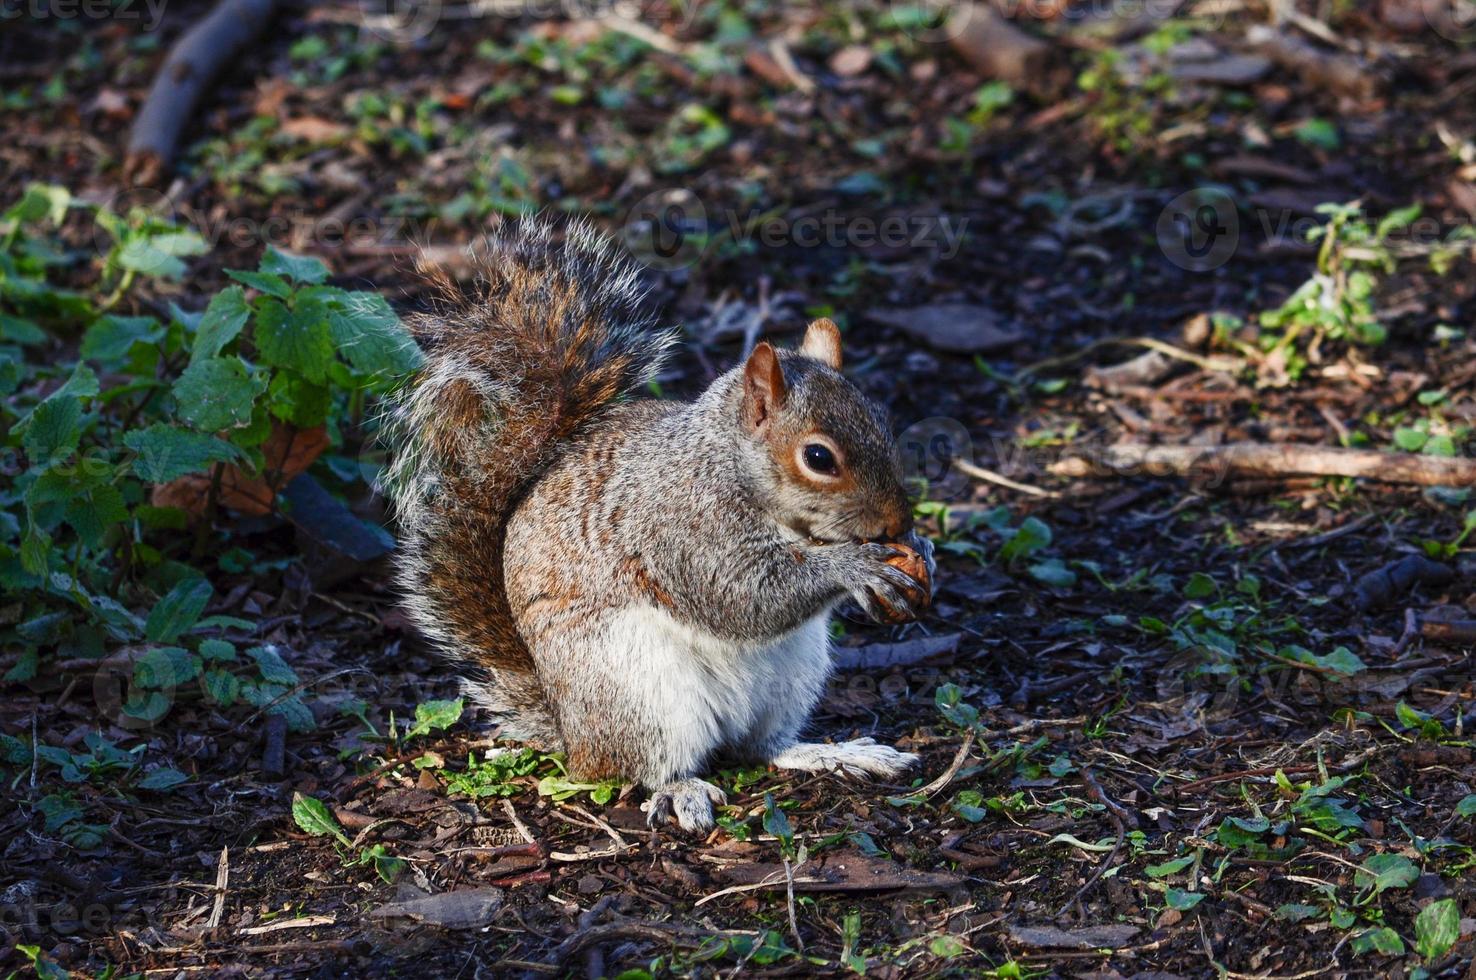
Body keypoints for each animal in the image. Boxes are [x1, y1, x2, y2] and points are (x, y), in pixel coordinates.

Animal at [383, 218, 932, 832]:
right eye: (818, 458)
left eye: (882, 420)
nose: (898, 520)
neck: (726, 464)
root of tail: (569, 731)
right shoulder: (678, 526)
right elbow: (739, 595)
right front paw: (855, 567)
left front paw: (918, 550)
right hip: (638, 689)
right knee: (640, 766)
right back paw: (683, 790)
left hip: (794, 674)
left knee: (762, 747)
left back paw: (835, 754)